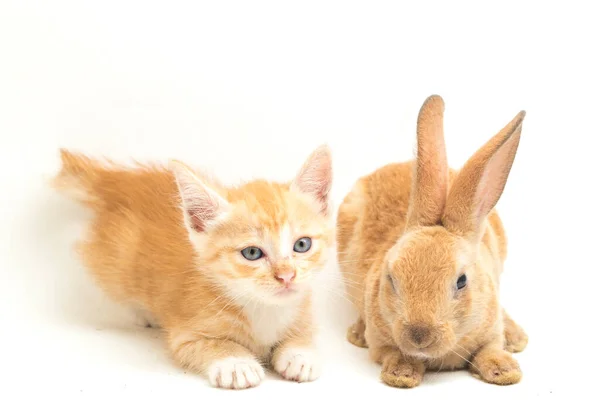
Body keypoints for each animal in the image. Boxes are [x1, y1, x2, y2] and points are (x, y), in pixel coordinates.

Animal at [51, 145, 332, 390]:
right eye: (252, 253)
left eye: (302, 245)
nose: (287, 276)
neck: (262, 307)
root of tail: (122, 182)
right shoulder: (185, 334)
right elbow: (213, 344)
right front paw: (236, 363)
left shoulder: (303, 306)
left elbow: (303, 333)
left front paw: (300, 355)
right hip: (117, 267)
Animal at [338, 94, 528, 388]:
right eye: (391, 278)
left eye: (462, 281)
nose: (419, 335)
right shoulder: (380, 342)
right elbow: (392, 352)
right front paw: (402, 375)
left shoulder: (490, 330)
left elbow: (490, 349)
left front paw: (505, 371)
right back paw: (357, 334)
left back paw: (517, 338)